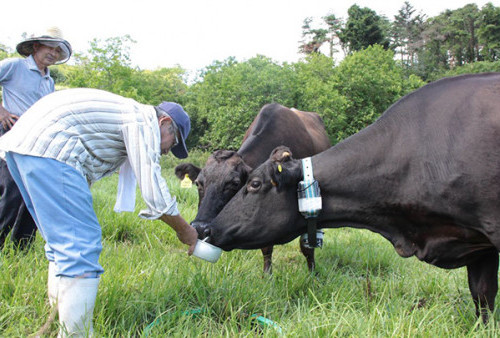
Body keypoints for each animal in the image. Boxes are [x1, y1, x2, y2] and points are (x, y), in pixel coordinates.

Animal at [176, 104, 332, 274]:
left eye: (234, 183)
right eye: (198, 183)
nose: (199, 227)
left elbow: (307, 246)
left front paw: (312, 273)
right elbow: (266, 247)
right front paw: (267, 275)